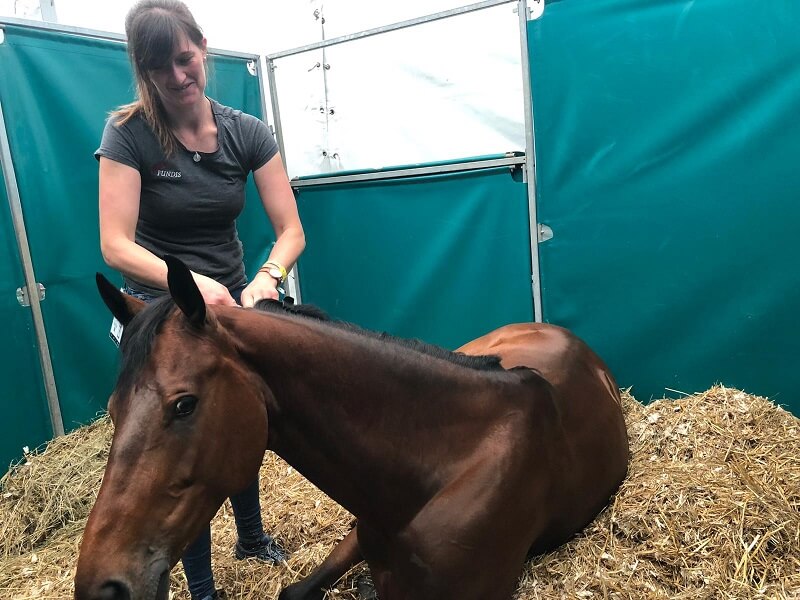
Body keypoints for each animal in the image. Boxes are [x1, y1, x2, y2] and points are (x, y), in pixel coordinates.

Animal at [75, 256, 628, 600]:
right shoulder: (361, 537)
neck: (449, 461)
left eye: (184, 405)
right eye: (113, 409)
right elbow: (295, 590)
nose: (102, 585)